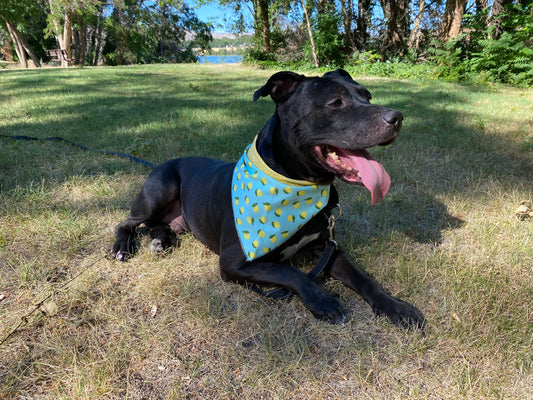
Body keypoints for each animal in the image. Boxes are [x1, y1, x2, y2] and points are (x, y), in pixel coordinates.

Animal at [112, 69, 424, 328]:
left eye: (367, 95)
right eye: (336, 103)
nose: (397, 117)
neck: (296, 185)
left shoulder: (327, 247)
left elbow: (363, 277)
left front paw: (395, 306)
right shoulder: (235, 263)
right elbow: (290, 273)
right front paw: (322, 300)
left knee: (157, 225)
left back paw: (160, 241)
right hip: (160, 188)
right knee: (127, 222)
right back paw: (122, 247)